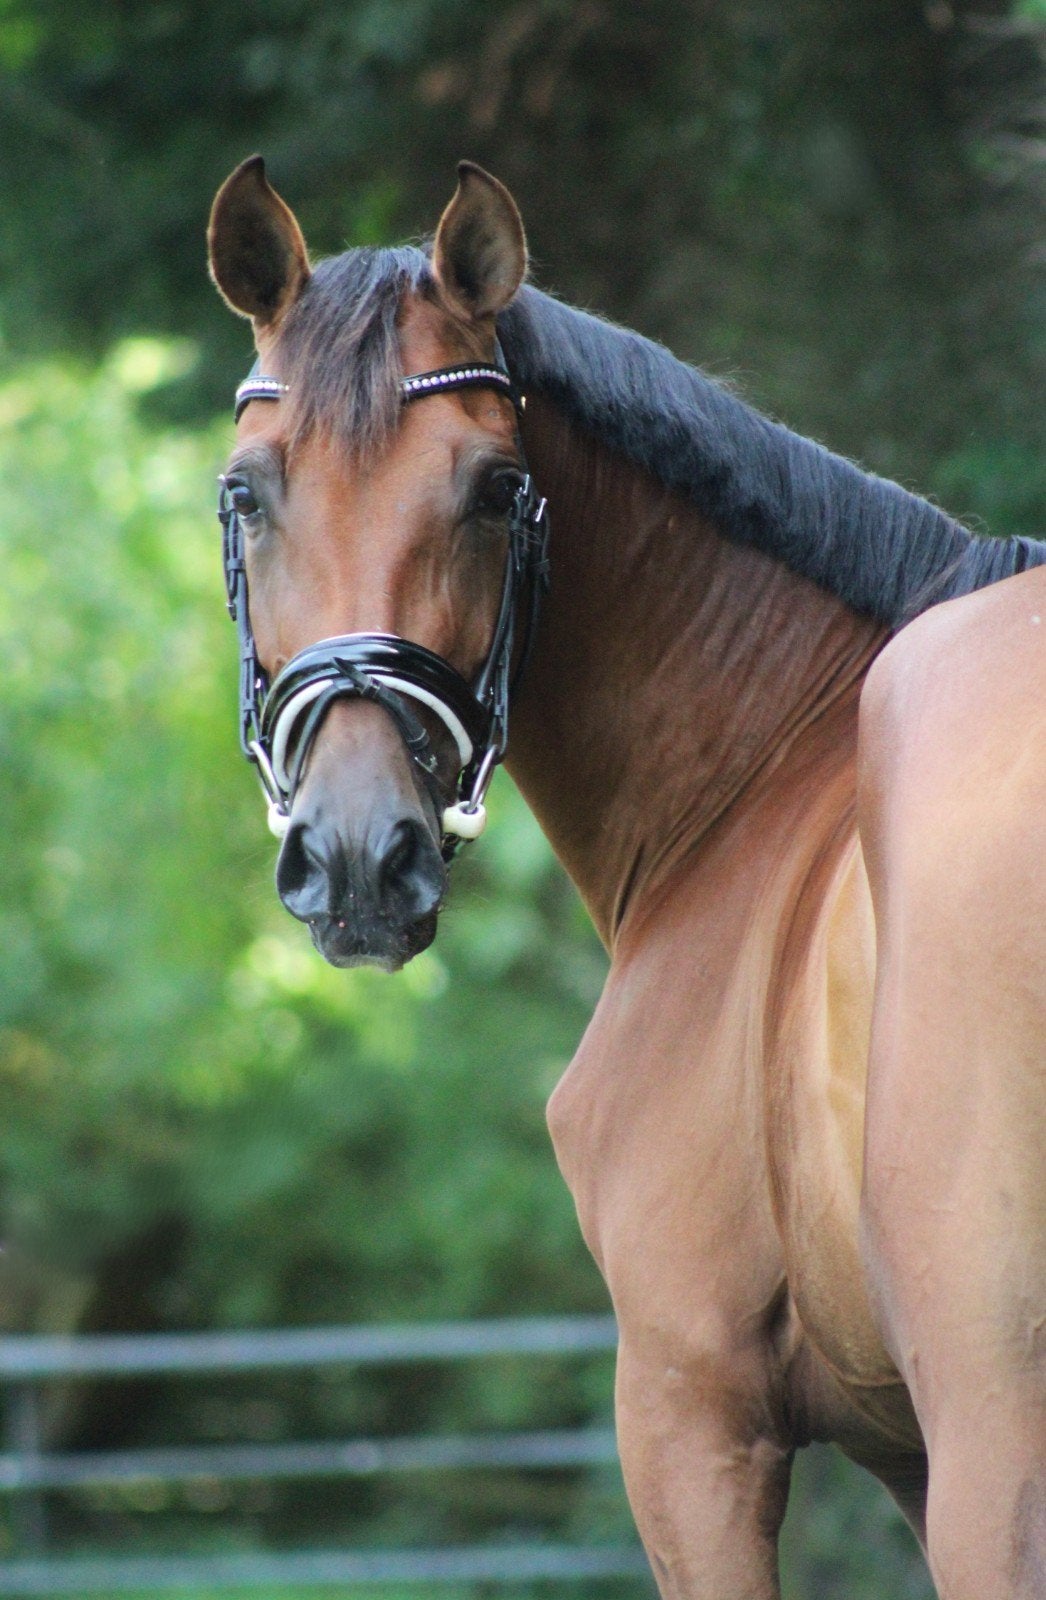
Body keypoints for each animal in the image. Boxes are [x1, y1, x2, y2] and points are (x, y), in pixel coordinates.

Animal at [207, 156, 1046, 1597]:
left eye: (496, 488)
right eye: (250, 492)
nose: (361, 858)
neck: (767, 771)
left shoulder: (686, 1406)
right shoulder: (896, 1454)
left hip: (994, 1414)